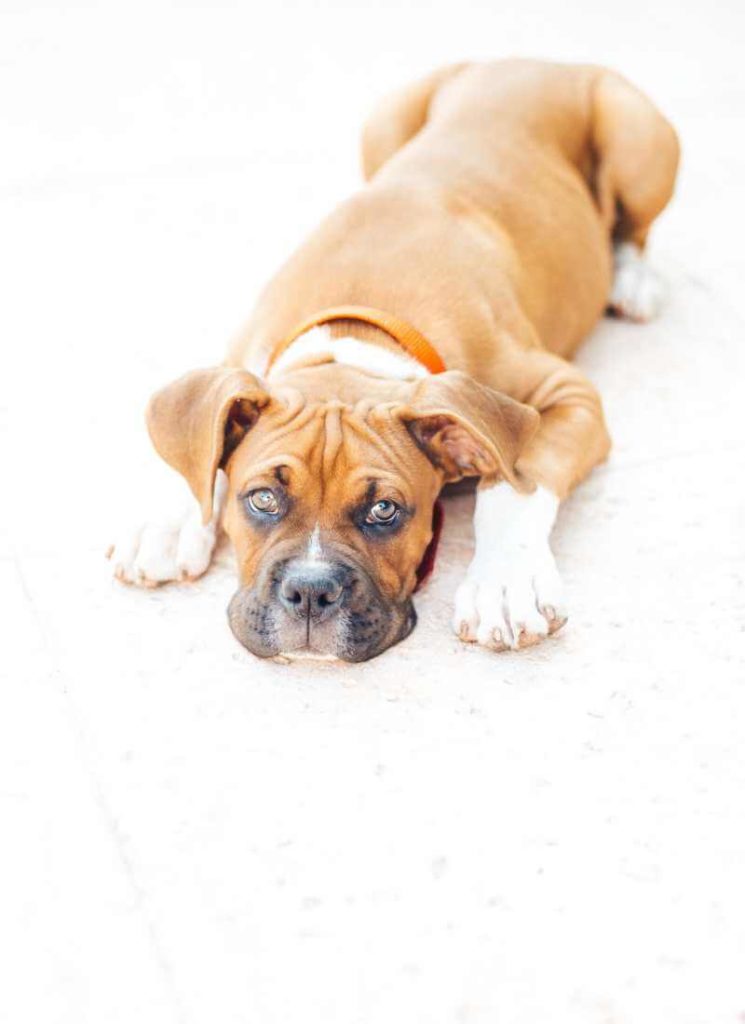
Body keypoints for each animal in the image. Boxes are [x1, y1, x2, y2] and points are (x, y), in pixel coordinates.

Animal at [107, 58, 679, 663]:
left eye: (385, 511)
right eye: (262, 499)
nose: (310, 592)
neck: (359, 333)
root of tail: (536, 61)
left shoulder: (566, 392)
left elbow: (516, 481)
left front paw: (504, 583)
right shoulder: (241, 358)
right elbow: (202, 442)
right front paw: (168, 521)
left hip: (637, 138)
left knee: (634, 229)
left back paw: (632, 279)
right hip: (382, 124)